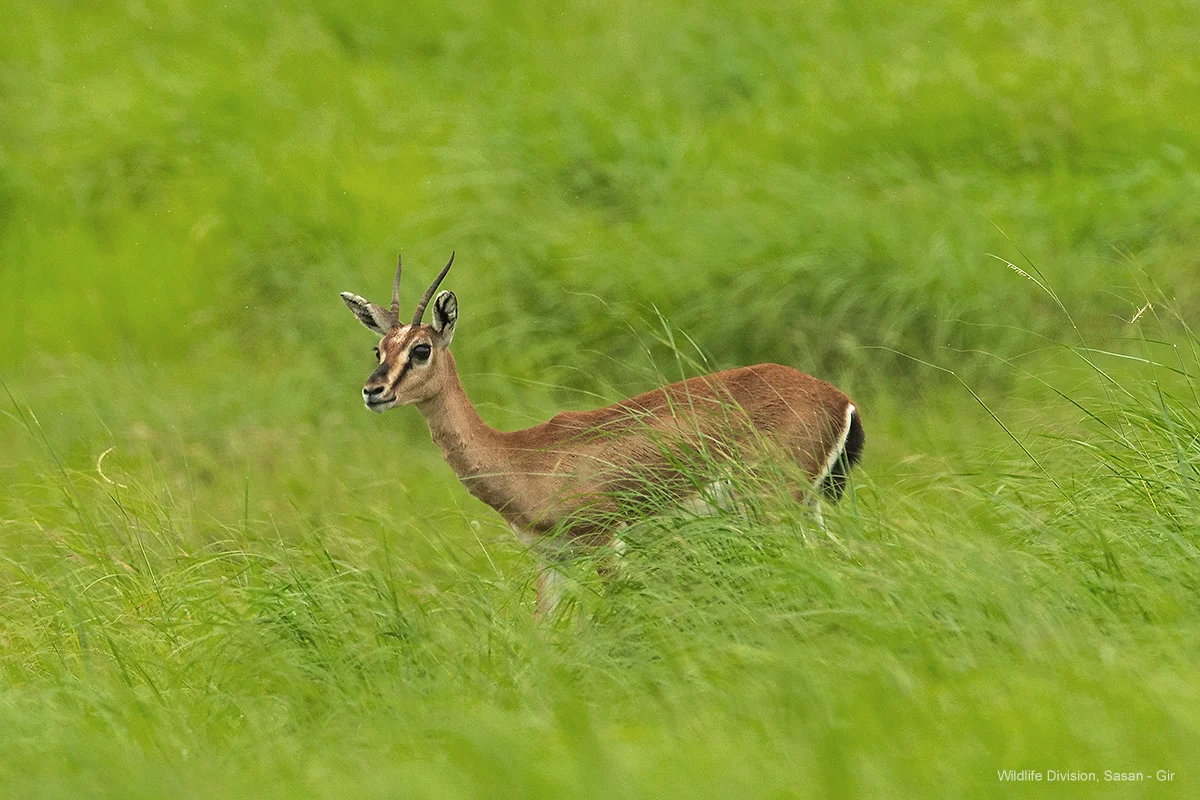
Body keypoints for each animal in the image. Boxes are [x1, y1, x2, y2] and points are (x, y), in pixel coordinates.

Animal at [341, 254, 864, 616]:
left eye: (421, 349)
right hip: (804, 508)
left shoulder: (605, 542)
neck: (521, 457)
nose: (373, 391)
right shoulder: (550, 561)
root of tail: (839, 399)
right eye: (378, 348)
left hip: (778, 506)